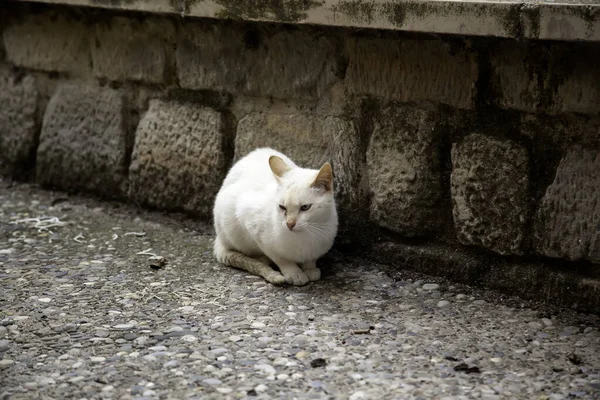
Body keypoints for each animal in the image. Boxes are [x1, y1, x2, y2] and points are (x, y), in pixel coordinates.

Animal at [213, 148, 340, 286]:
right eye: (282, 207)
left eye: (305, 207)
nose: (290, 224)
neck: (306, 234)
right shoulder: (251, 223)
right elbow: (281, 259)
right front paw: (294, 273)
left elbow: (310, 259)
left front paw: (310, 269)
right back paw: (263, 259)